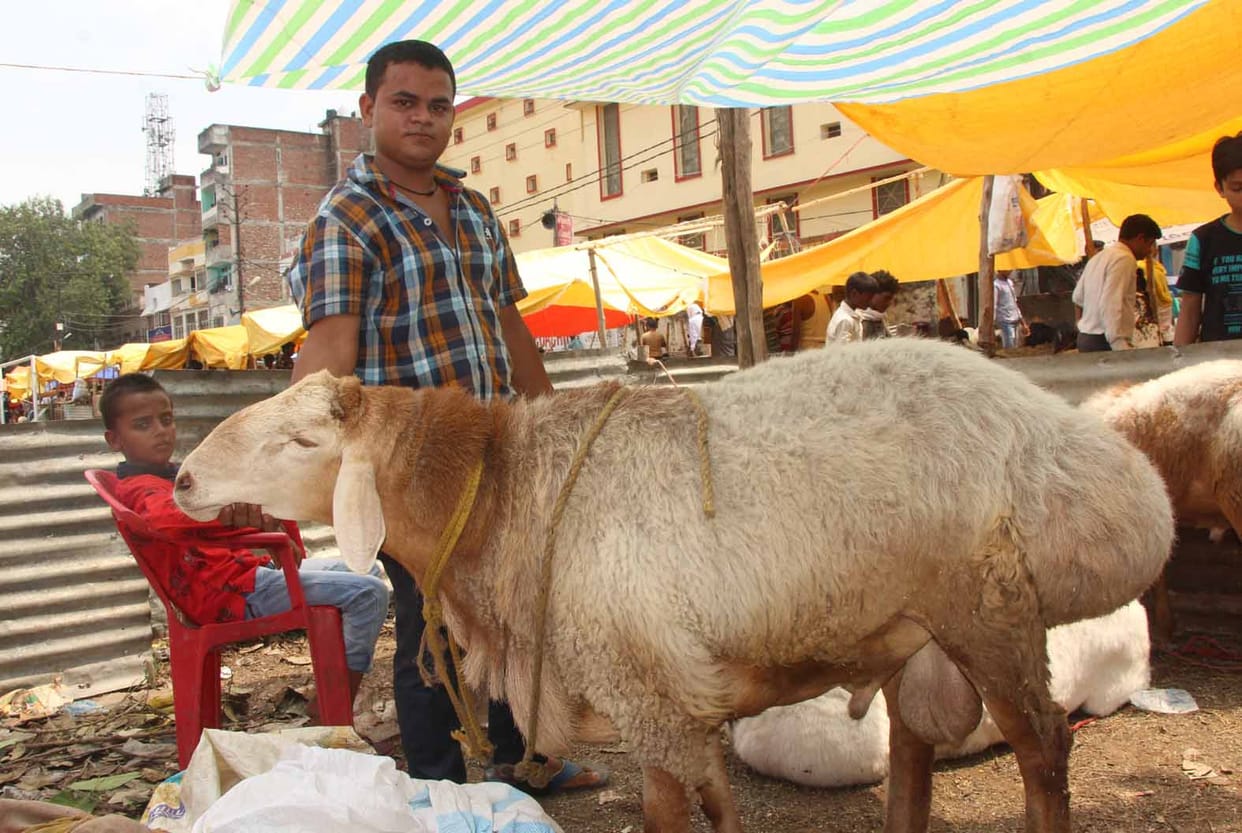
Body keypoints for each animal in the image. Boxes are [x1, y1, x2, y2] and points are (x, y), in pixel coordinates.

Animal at [173, 338, 1173, 833]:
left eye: (302, 441)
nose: (181, 480)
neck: (504, 492)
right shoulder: (673, 690)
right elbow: (716, 801)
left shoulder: (642, 679)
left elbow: (664, 812)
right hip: (911, 628)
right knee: (917, 760)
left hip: (990, 609)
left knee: (1045, 751)